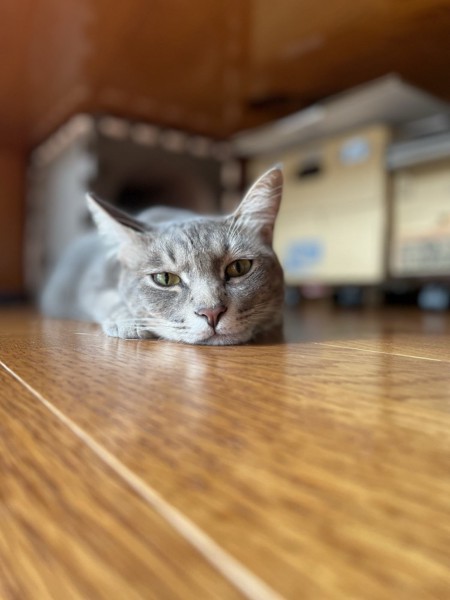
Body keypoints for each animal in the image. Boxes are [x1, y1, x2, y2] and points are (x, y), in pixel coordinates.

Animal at [40, 166, 284, 344]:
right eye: (165, 279)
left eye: (239, 267)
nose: (211, 312)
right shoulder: (91, 279)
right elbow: (103, 298)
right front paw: (129, 321)